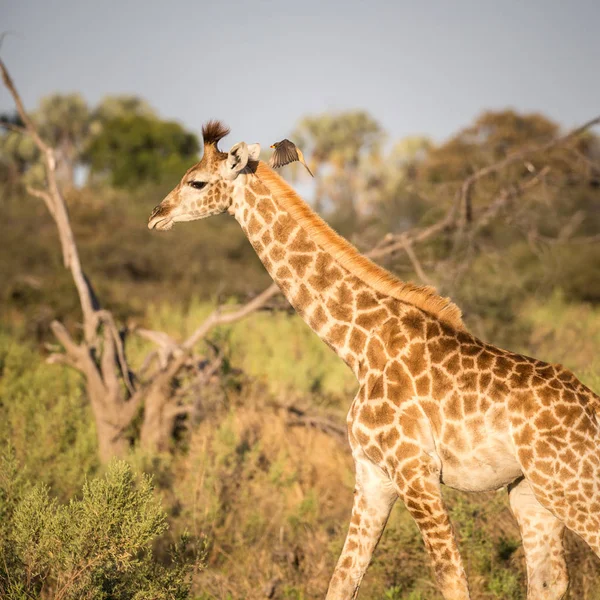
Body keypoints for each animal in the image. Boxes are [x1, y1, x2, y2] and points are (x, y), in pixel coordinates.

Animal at [148, 122, 600, 600]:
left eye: (197, 182)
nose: (156, 214)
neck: (359, 347)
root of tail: (593, 406)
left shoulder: (414, 470)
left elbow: (451, 579)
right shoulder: (372, 474)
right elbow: (343, 577)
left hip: (571, 486)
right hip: (531, 492)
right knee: (550, 578)